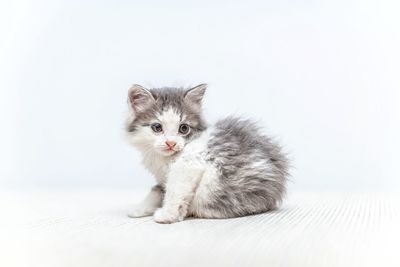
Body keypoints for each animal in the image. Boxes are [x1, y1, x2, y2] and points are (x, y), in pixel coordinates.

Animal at [125, 84, 288, 224]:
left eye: (183, 128)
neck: (165, 159)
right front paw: (139, 208)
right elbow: (157, 190)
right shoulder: (162, 177)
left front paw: (167, 215)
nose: (171, 143)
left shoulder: (189, 164)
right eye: (157, 127)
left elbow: (174, 190)